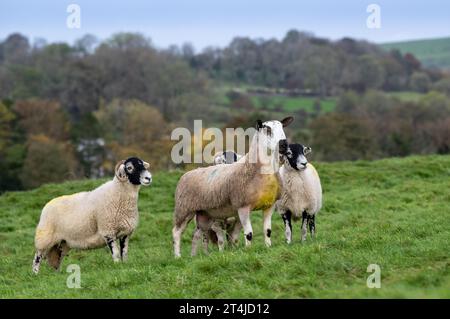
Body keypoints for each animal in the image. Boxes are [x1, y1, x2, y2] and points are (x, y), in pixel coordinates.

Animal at [171, 117, 292, 258]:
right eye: (267, 129)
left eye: (282, 127)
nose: (284, 144)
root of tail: (187, 174)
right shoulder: (242, 207)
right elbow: (249, 234)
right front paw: (249, 251)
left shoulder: (269, 206)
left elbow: (267, 231)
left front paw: (268, 247)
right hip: (184, 209)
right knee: (176, 232)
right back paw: (177, 256)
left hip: (204, 214)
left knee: (196, 234)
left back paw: (194, 256)